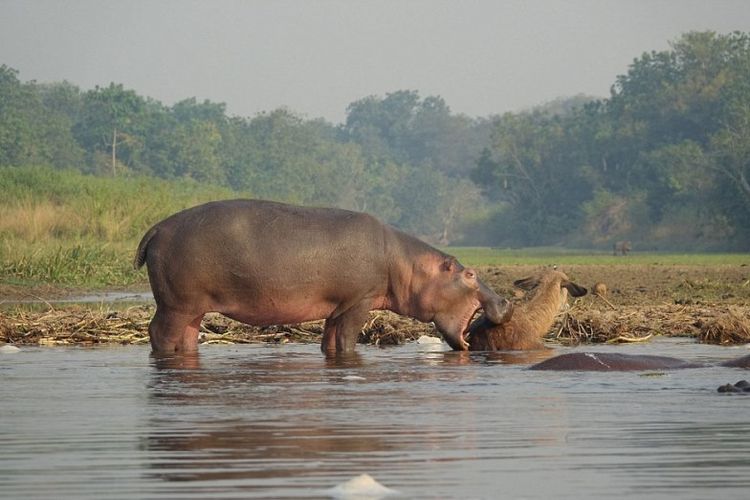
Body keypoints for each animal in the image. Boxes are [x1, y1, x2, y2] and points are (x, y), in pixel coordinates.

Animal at [135, 198, 516, 356]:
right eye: (470, 273)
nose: (506, 301)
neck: (406, 264)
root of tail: (156, 229)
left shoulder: (339, 306)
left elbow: (330, 341)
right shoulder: (359, 301)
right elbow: (347, 340)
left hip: (192, 308)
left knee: (186, 337)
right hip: (176, 304)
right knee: (160, 333)